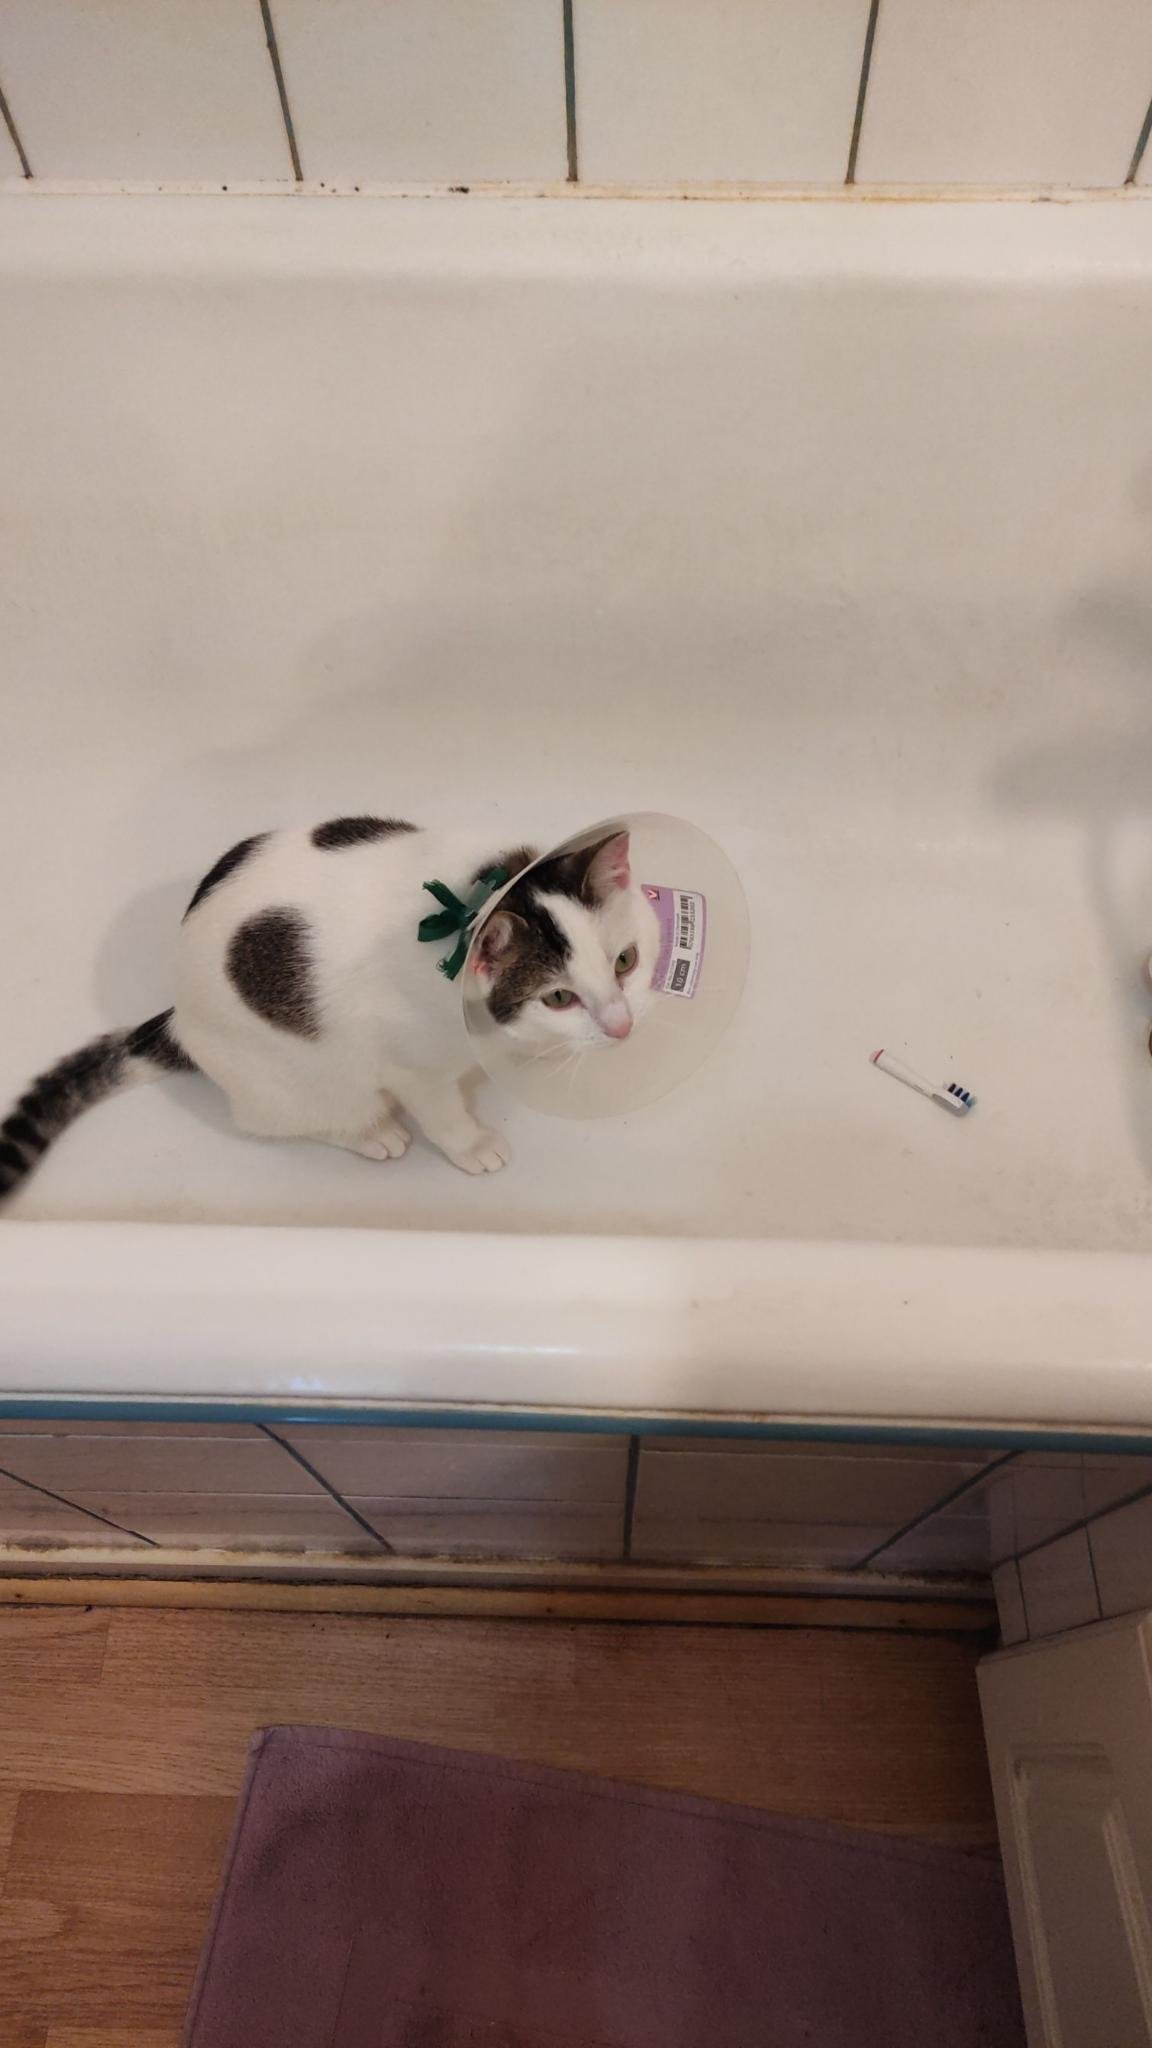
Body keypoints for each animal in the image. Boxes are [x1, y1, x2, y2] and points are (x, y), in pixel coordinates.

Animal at [0, 819, 660, 1195]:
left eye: (625, 962)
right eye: (558, 996)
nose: (624, 1027)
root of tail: (179, 1021)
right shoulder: (410, 1063)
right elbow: (440, 1107)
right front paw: (470, 1143)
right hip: (291, 1080)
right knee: (271, 1117)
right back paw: (370, 1132)